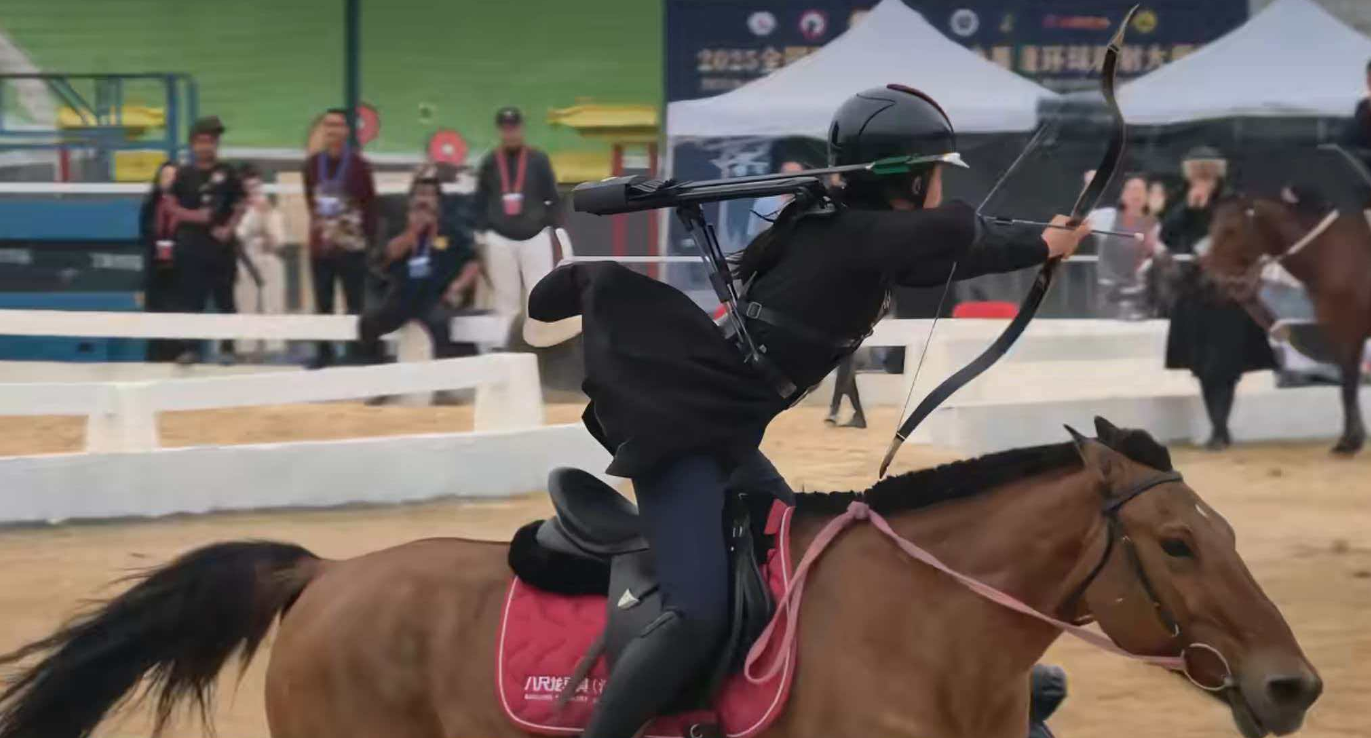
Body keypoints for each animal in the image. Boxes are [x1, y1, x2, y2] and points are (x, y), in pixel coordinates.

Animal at [1205, 197, 1371, 454]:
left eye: (1231, 230)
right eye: (1211, 227)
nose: (1211, 281)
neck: (1331, 254)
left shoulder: (1349, 330)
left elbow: (1349, 386)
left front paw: (1349, 442)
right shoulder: (1340, 331)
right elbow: (1347, 382)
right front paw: (1352, 438)